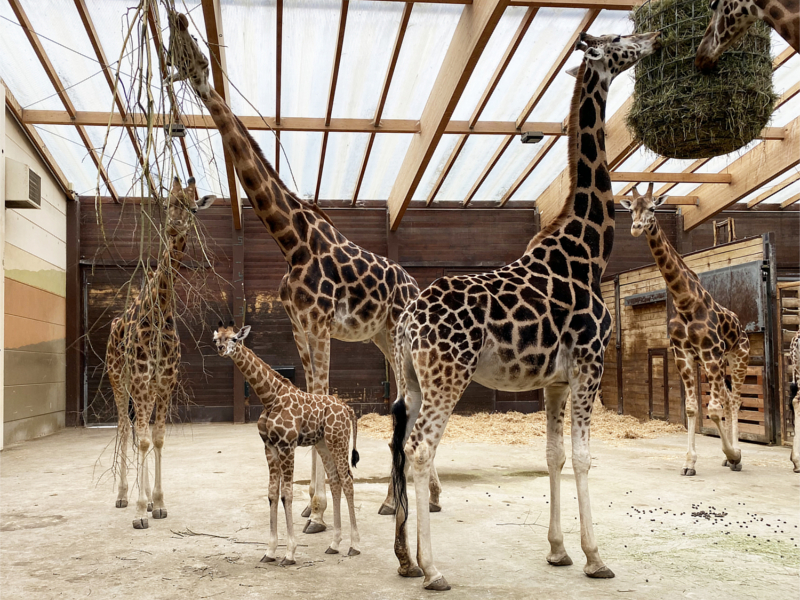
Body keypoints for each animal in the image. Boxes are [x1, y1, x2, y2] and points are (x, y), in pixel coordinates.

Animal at [108, 176, 219, 528]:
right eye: (169, 203)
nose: (173, 229)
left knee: (136, 429)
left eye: (193, 207)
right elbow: (143, 438)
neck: (160, 310)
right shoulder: (143, 380)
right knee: (123, 427)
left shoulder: (165, 383)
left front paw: (157, 504)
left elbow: (156, 439)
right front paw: (140, 510)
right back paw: (122, 496)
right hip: (118, 379)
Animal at [162, 11, 438, 532]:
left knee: (409, 398)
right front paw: (313, 505)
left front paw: (319, 509)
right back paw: (419, 497)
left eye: (194, 49)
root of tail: (415, 287)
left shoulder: (321, 324)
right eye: (175, 47)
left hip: (396, 335)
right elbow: (311, 392)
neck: (292, 242)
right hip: (380, 337)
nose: (176, 22)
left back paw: (405, 500)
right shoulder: (299, 327)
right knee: (407, 396)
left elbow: (323, 393)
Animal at [212, 324, 362, 564]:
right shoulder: (270, 447)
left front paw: (289, 553)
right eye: (217, 339)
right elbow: (272, 493)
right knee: (335, 480)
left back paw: (354, 545)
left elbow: (287, 494)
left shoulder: (287, 446)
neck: (269, 397)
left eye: (234, 338)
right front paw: (270, 551)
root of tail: (348, 409)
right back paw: (334, 544)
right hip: (323, 443)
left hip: (338, 440)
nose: (221, 349)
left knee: (347, 480)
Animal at [390, 30, 664, 588]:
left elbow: (553, 456)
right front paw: (596, 557)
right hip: (448, 375)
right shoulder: (589, 363)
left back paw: (406, 560)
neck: (589, 250)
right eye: (618, 40)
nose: (652, 38)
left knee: (404, 448)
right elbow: (583, 457)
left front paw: (558, 550)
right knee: (421, 449)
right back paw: (433, 569)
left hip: (413, 378)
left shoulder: (554, 381)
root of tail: (408, 322)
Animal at [620, 185, 752, 476]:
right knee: (728, 399)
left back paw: (737, 455)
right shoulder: (684, 355)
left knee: (735, 399)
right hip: (718, 363)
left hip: (738, 358)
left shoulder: (710, 353)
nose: (636, 228)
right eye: (631, 208)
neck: (685, 301)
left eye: (652, 208)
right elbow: (692, 408)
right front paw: (690, 462)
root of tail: (742, 327)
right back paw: (727, 458)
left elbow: (711, 410)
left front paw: (733, 454)